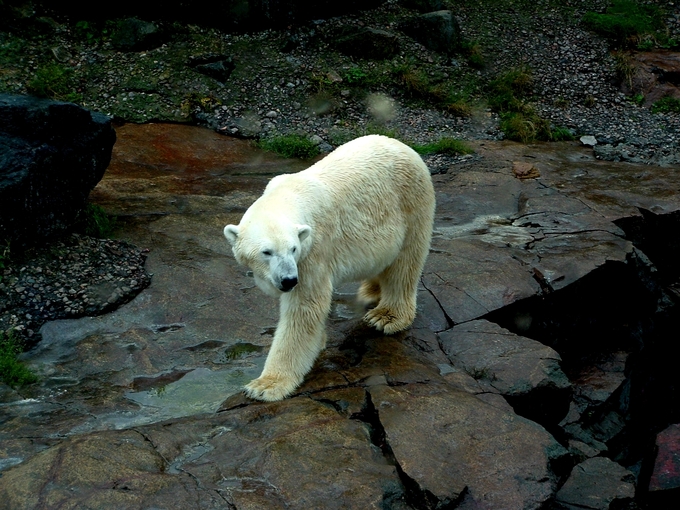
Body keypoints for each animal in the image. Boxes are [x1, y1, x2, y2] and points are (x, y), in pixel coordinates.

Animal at [223, 135, 436, 402]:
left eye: (293, 248)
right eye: (266, 252)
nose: (289, 280)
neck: (288, 194)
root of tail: (405, 147)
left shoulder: (313, 251)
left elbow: (304, 309)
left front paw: (265, 386)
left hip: (411, 203)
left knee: (405, 262)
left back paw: (386, 316)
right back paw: (371, 290)